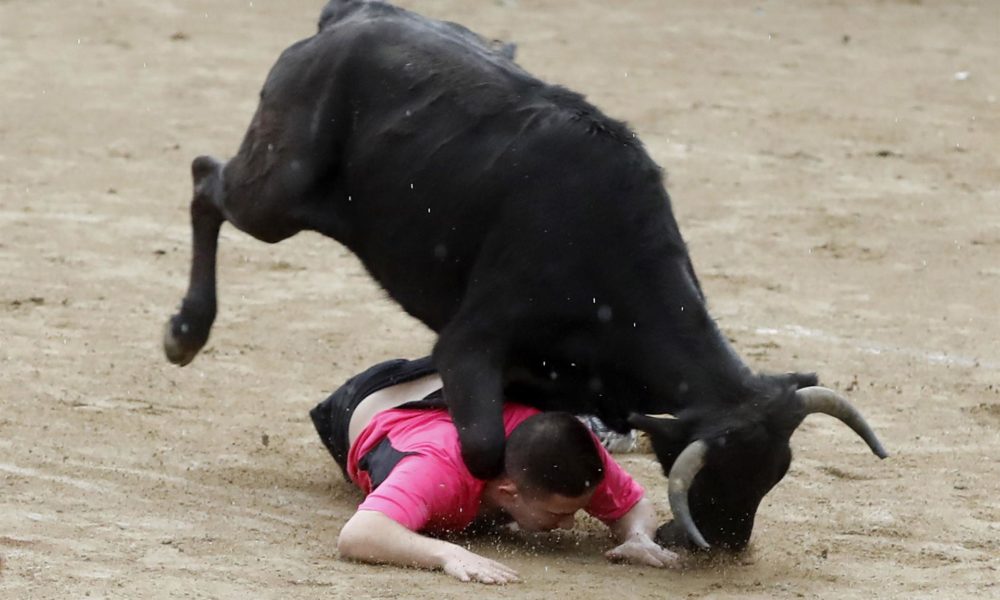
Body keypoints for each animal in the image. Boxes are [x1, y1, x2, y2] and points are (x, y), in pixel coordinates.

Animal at [164, 0, 892, 552]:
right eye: (717, 477)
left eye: (778, 471)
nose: (729, 544)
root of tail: (351, 17)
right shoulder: (471, 340)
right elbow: (485, 442)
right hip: (276, 194)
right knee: (204, 179)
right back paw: (185, 332)